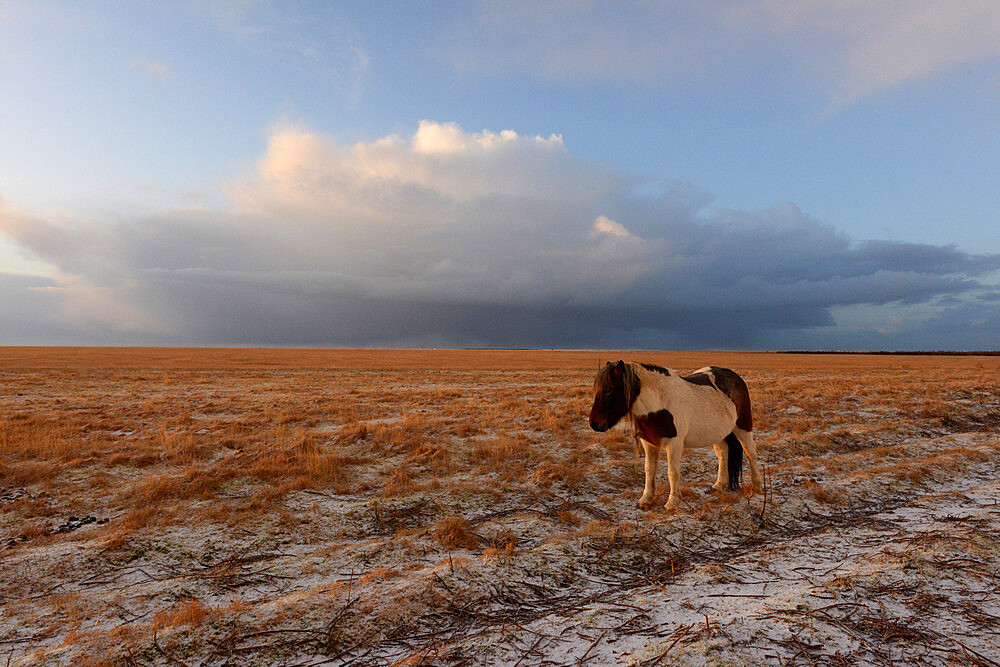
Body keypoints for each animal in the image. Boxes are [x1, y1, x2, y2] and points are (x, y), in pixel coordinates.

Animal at [584, 360, 764, 512]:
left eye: (608, 389)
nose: (594, 424)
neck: (660, 403)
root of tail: (735, 377)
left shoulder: (674, 445)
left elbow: (673, 472)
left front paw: (672, 503)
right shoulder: (648, 443)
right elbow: (649, 469)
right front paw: (645, 500)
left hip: (742, 427)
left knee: (751, 452)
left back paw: (757, 486)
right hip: (718, 433)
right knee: (723, 454)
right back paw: (719, 486)